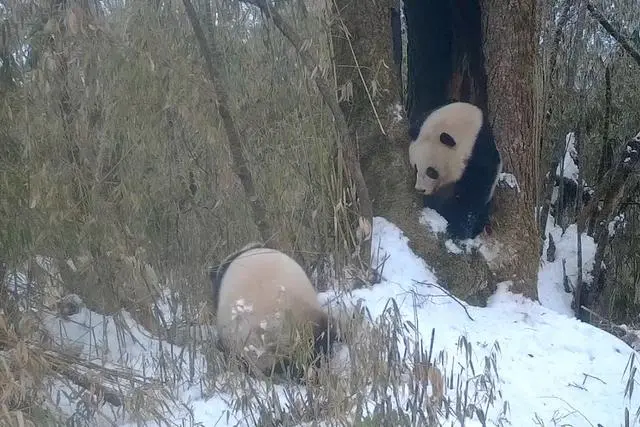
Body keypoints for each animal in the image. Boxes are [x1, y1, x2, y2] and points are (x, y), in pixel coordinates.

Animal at [408, 101, 502, 241]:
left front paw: (458, 229)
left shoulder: (479, 157)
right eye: (416, 168)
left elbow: (472, 195)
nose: (421, 189)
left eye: (431, 172)